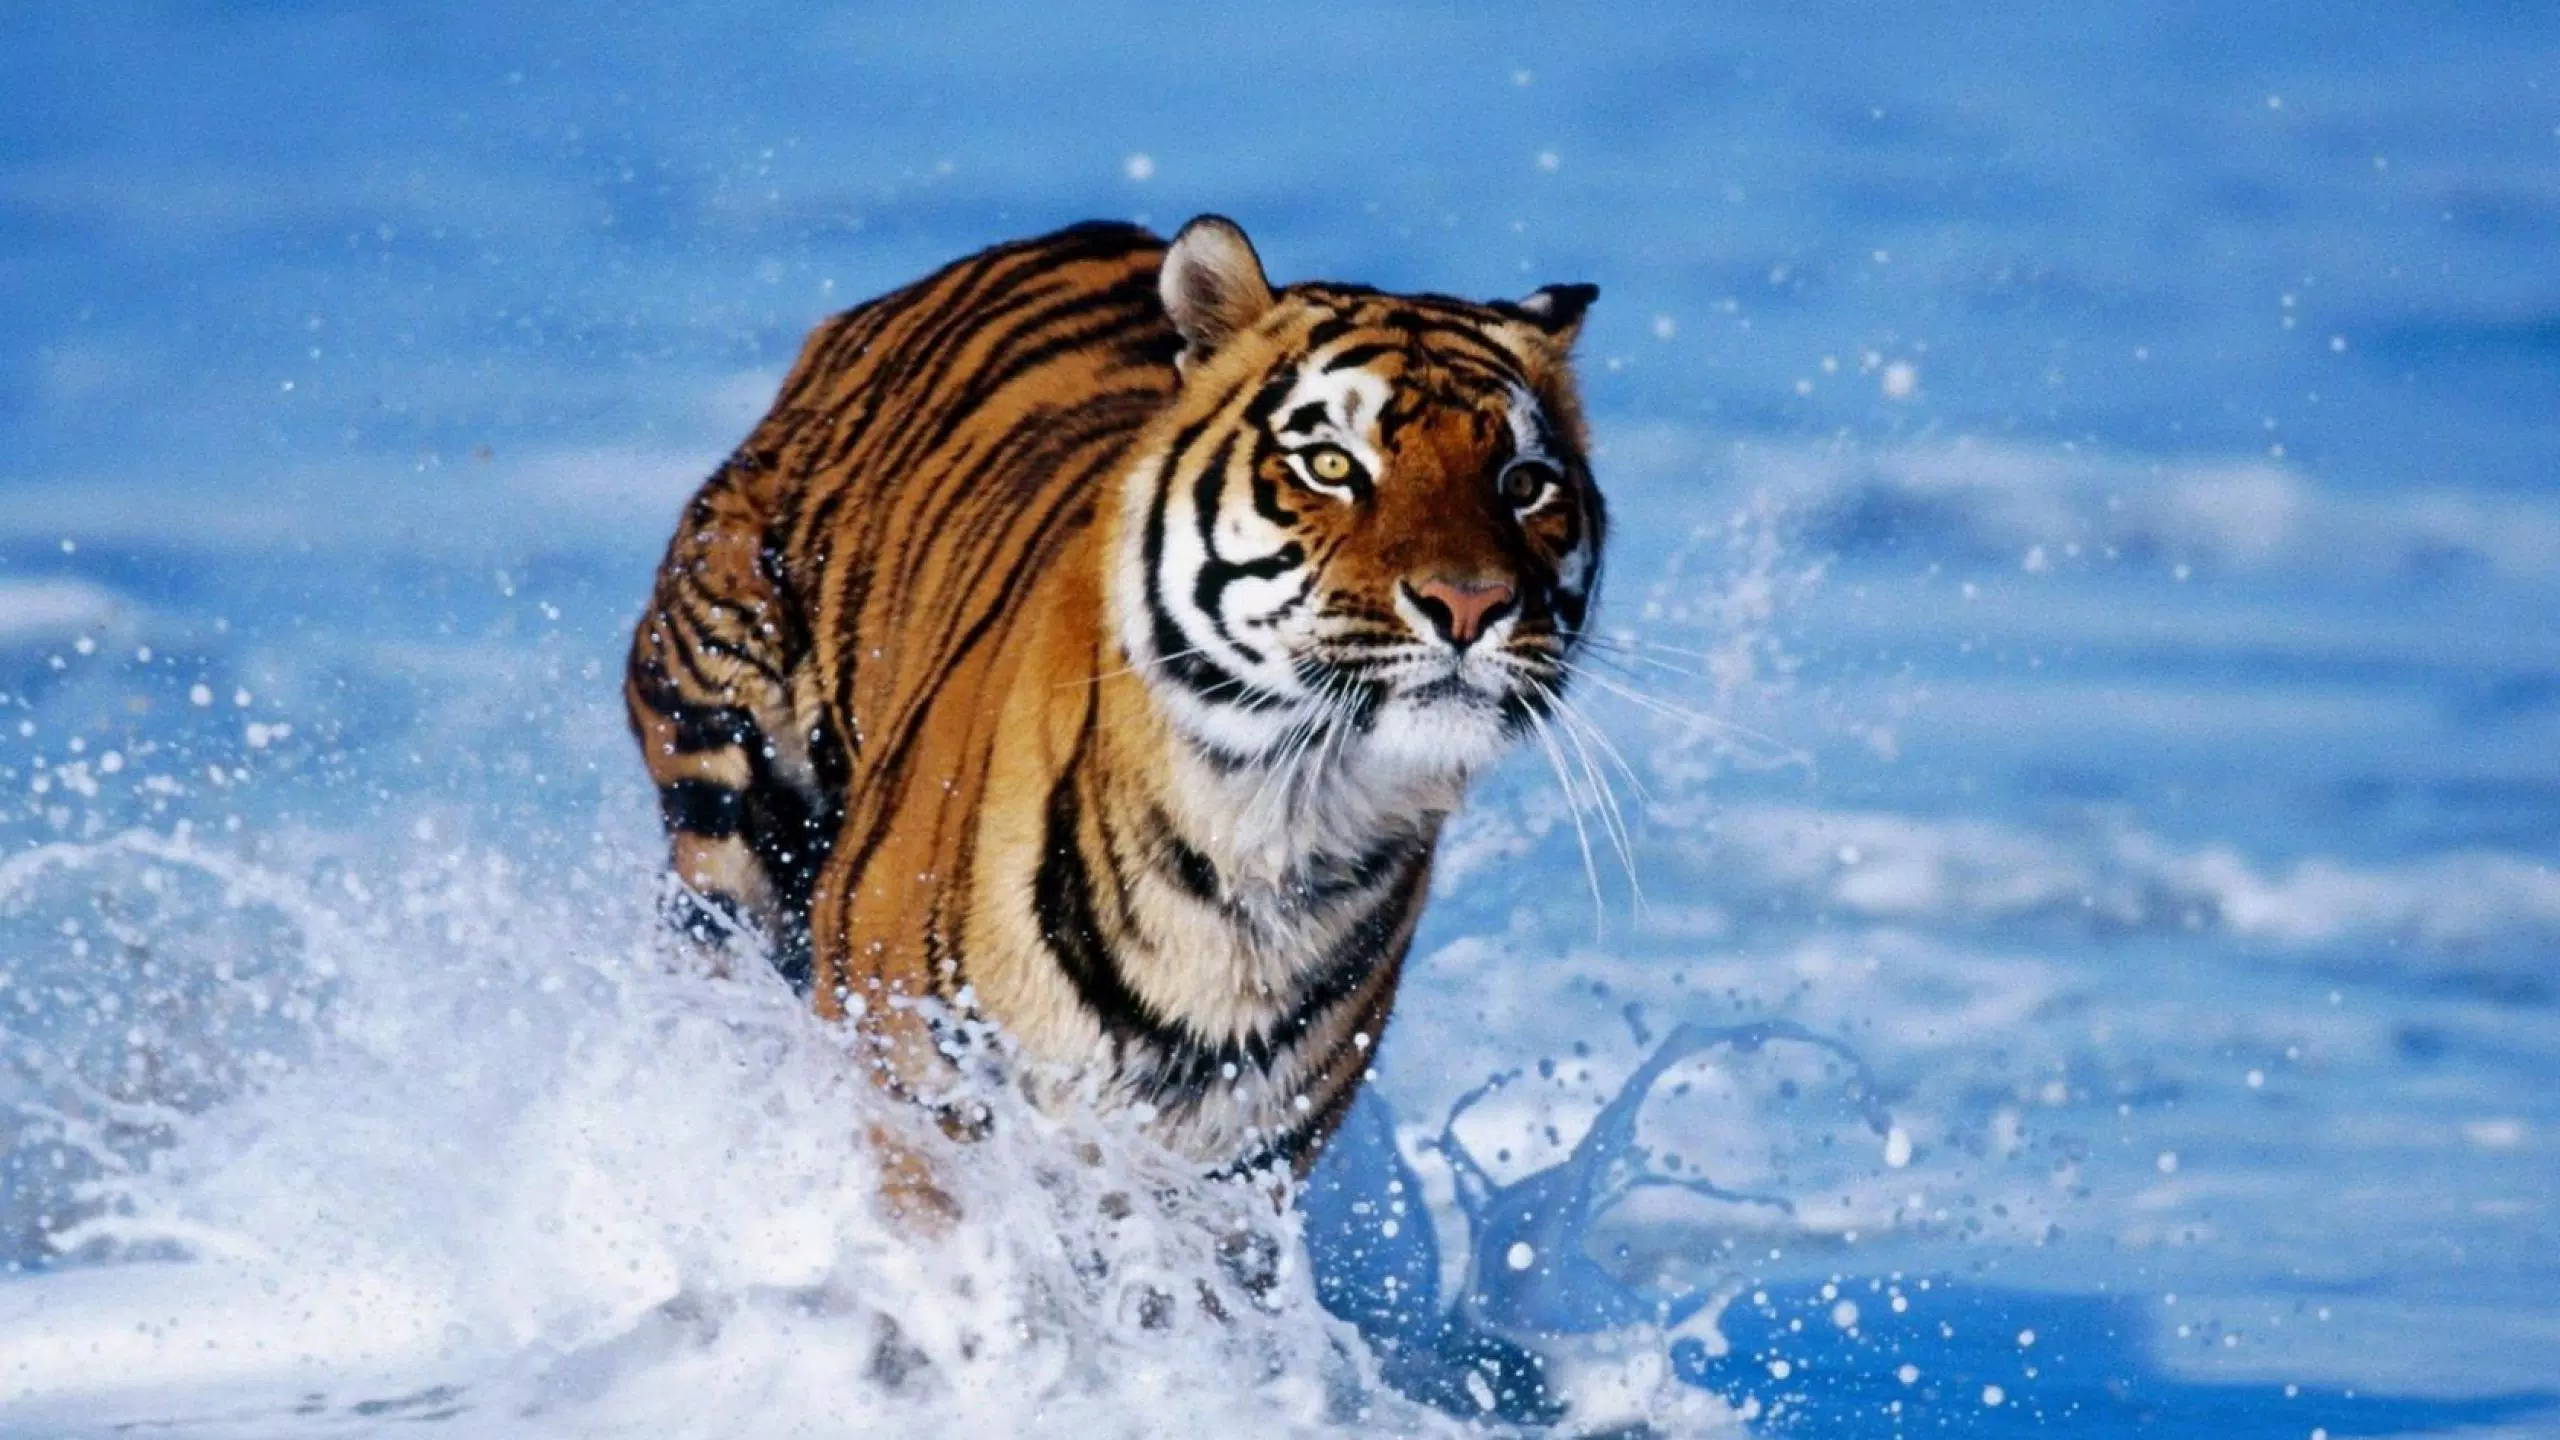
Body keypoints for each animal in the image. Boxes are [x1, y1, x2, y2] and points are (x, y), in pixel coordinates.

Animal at [625, 215, 1602, 1188]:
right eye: (1330, 464)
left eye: (1523, 483)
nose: (1470, 604)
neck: (1274, 830)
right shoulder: (917, 1090)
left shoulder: (1237, 1172)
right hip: (728, 796)